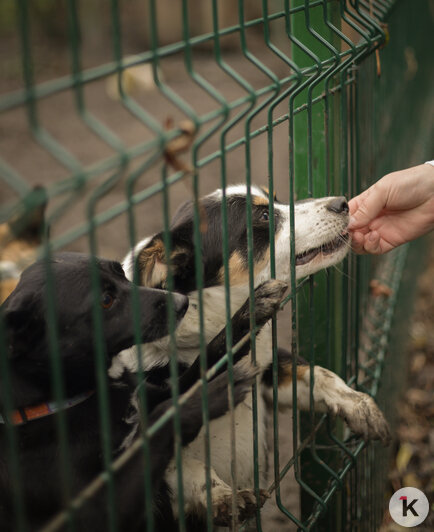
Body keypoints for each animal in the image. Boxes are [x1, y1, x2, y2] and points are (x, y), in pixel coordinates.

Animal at [0, 251, 288, 528]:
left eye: (121, 273)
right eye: (106, 300)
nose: (181, 302)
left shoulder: (154, 394)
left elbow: (208, 359)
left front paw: (251, 310)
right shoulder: (98, 512)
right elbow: (164, 417)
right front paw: (212, 394)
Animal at [116, 185, 394, 524]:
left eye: (276, 200)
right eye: (262, 217)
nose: (342, 203)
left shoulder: (268, 374)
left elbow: (318, 374)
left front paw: (358, 404)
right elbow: (188, 466)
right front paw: (225, 498)